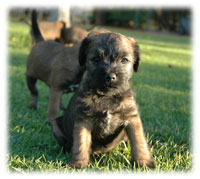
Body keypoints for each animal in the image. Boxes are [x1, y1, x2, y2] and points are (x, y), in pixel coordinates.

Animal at [52, 30, 155, 169]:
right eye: (96, 59)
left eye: (124, 60)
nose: (110, 76)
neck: (107, 96)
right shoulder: (84, 119)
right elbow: (81, 143)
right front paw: (78, 163)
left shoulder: (132, 118)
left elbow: (138, 141)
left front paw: (144, 163)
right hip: (55, 125)